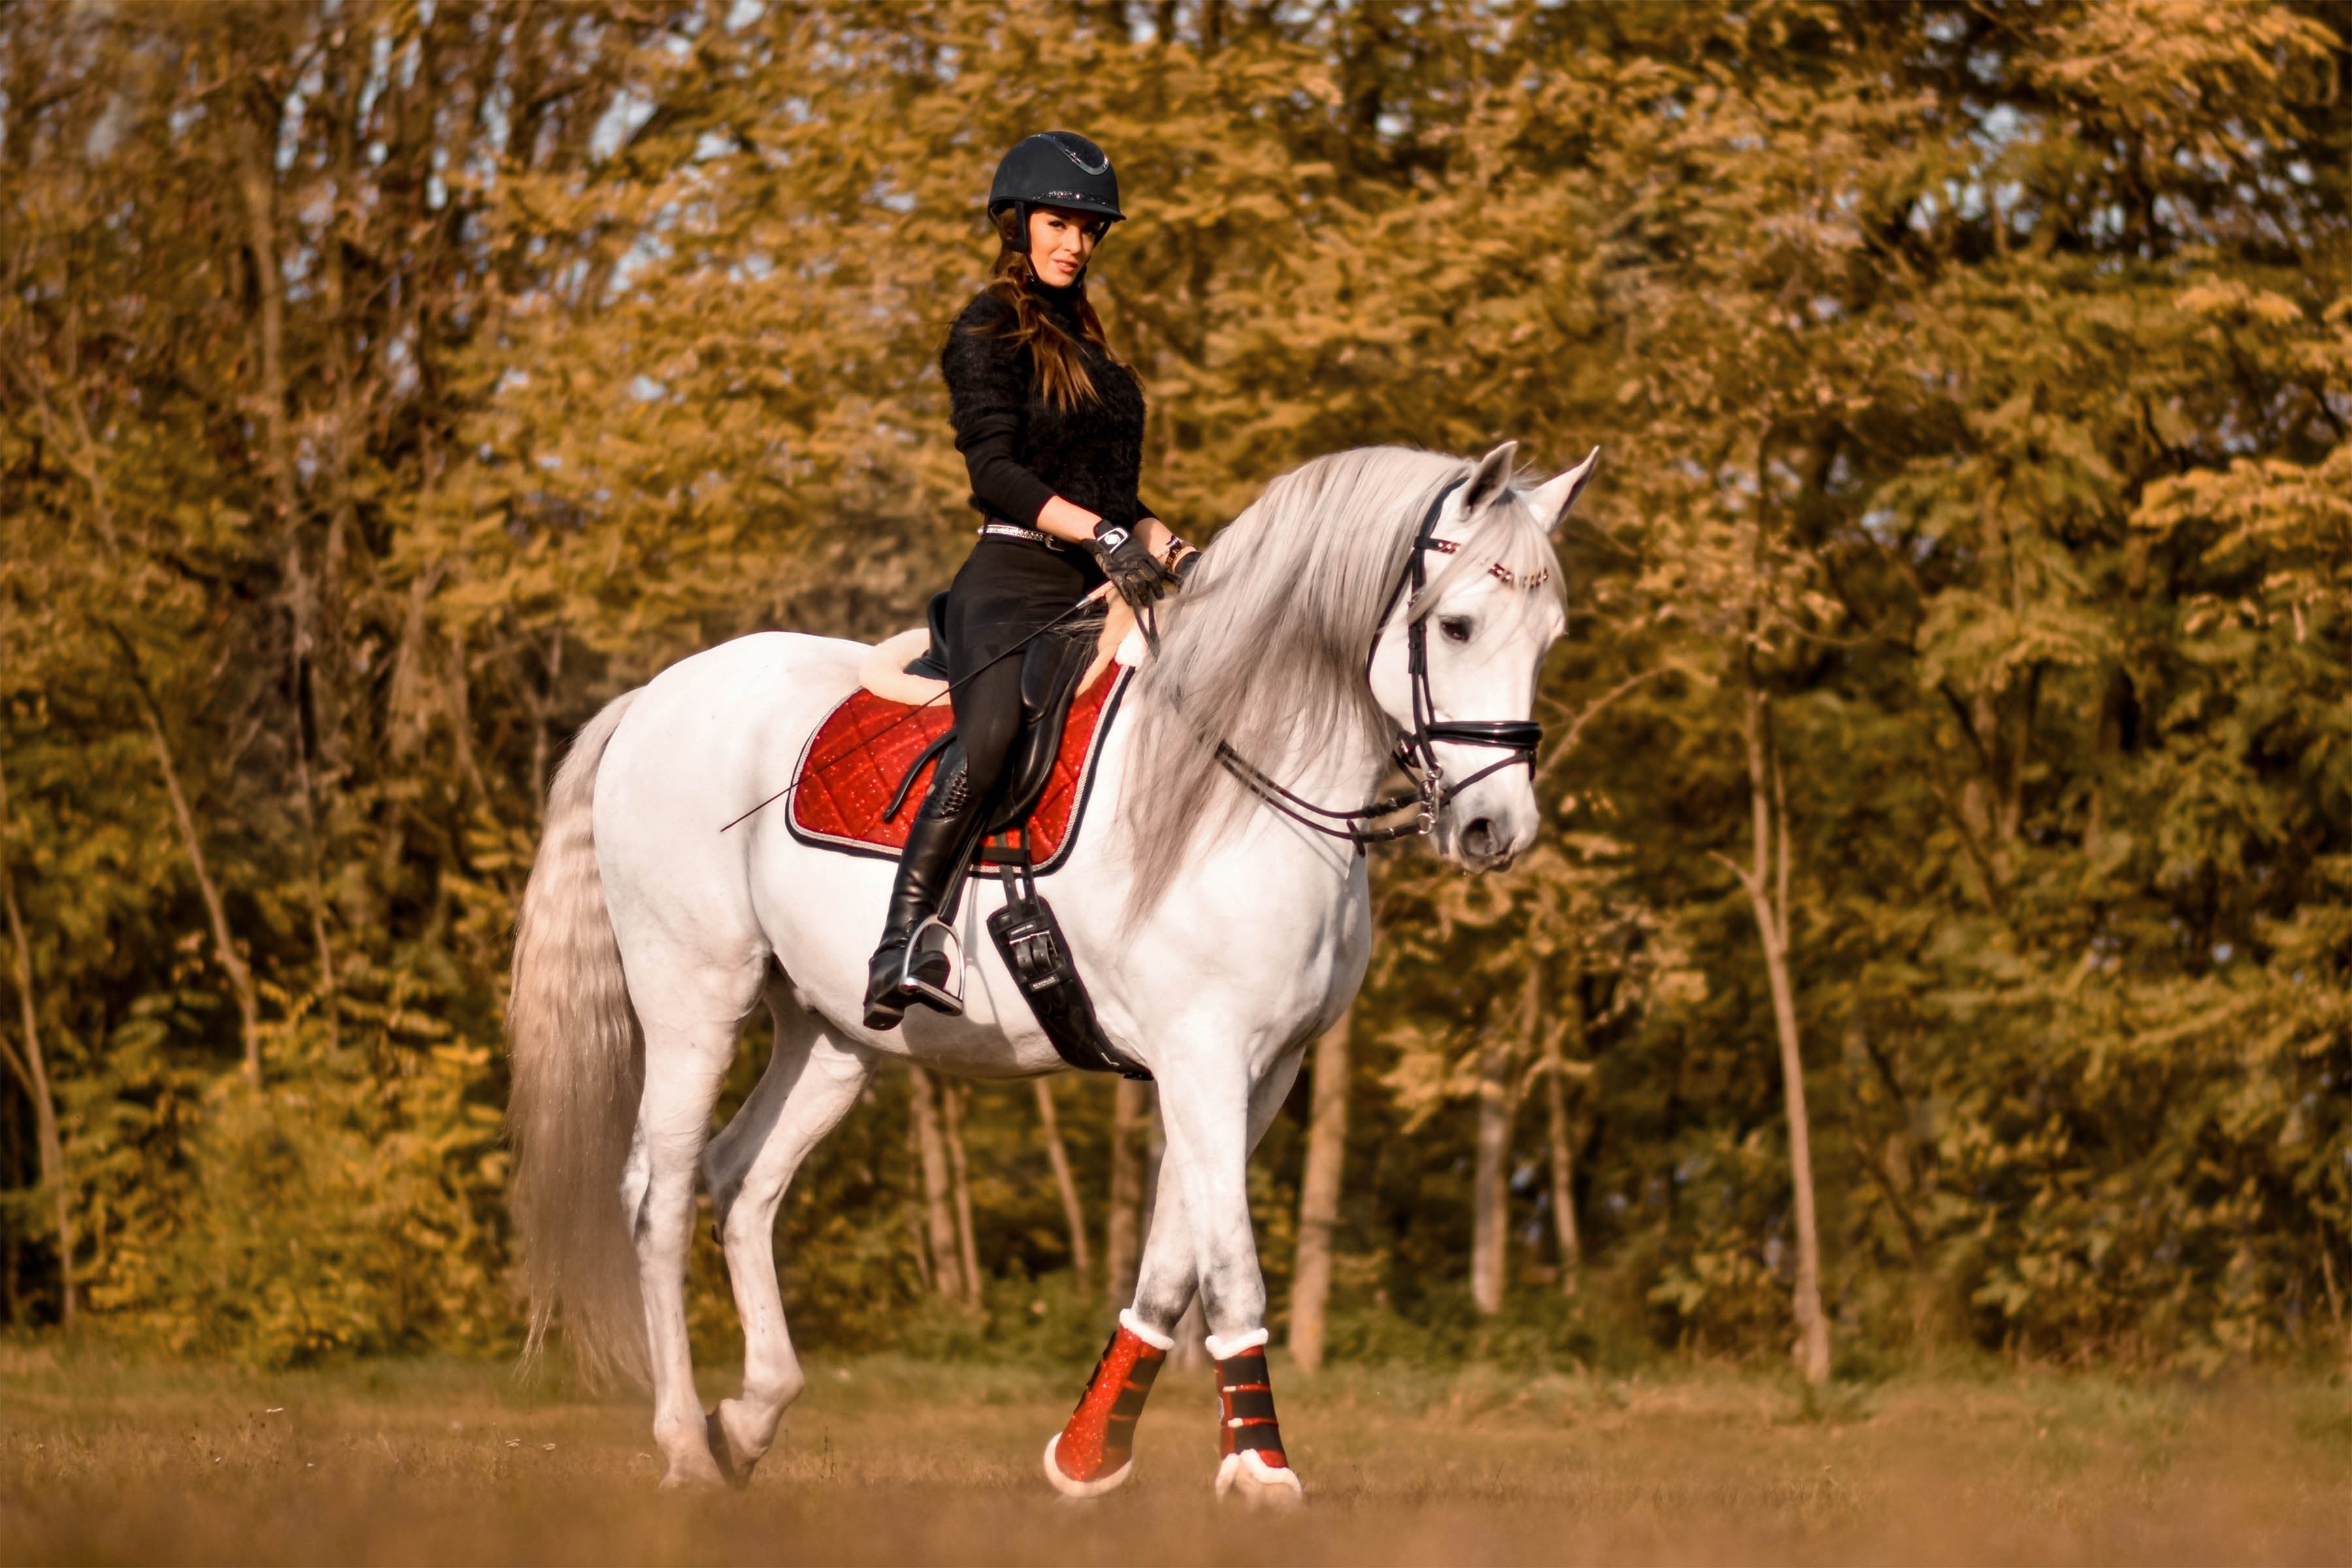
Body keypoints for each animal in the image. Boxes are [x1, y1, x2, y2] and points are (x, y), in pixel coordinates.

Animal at [503, 439, 1590, 1495]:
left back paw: (747, 1419)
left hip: (832, 1035)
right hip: (693, 998)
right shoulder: (1202, 1057)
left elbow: (1171, 1265)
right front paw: (1260, 1471)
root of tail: (657, 696)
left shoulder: (1259, 1071)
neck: (1237, 782)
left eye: (1548, 637)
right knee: (661, 1195)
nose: (1497, 829)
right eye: (1456, 626)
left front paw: (1087, 1456)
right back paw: (686, 1446)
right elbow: (1229, 1267)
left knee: (744, 1180)